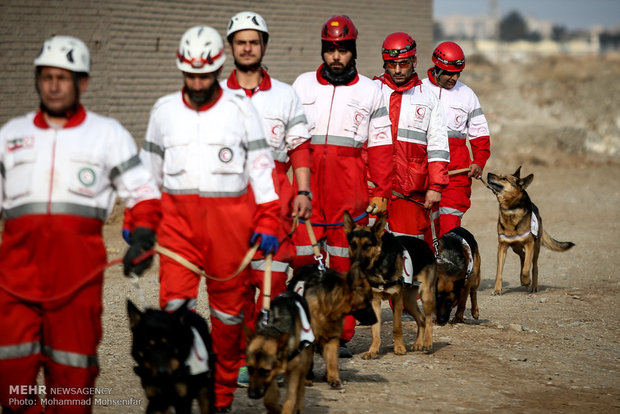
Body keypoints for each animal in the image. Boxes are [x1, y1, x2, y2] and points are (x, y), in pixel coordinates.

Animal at [290, 260, 376, 390]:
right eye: (368, 301)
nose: (376, 320)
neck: (327, 307)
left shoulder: (332, 338)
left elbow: (332, 360)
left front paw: (333, 378)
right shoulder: (308, 340)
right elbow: (308, 361)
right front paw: (306, 379)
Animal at [344, 212, 436, 358]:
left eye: (367, 245)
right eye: (353, 245)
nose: (356, 265)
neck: (379, 263)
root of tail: (425, 244)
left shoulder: (397, 298)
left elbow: (397, 327)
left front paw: (399, 347)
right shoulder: (375, 301)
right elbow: (375, 330)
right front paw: (373, 350)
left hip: (425, 296)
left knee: (428, 319)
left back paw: (427, 342)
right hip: (408, 301)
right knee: (421, 319)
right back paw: (418, 343)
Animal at [484, 166, 576, 294]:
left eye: (504, 178)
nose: (488, 173)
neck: (511, 209)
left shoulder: (529, 244)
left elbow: (526, 268)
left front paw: (527, 281)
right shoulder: (502, 246)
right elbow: (499, 272)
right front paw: (497, 289)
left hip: (535, 248)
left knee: (534, 265)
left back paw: (533, 285)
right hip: (515, 246)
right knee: (522, 256)